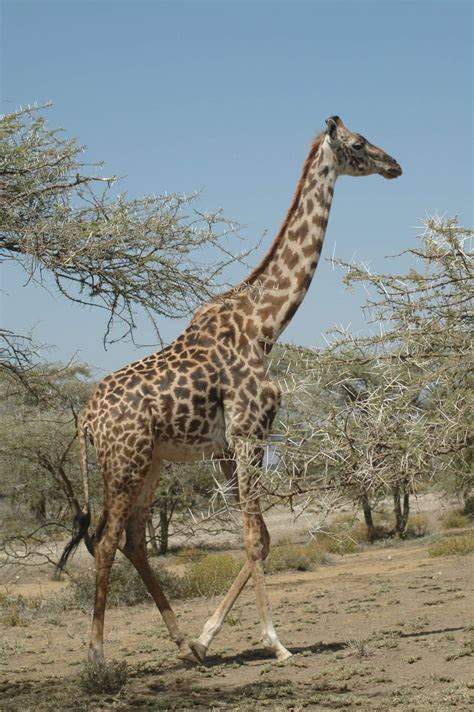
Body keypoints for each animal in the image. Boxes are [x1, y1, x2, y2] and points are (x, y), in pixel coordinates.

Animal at [58, 116, 401, 665]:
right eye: (358, 143)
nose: (394, 165)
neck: (265, 325)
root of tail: (86, 418)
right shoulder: (249, 432)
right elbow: (254, 538)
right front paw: (277, 643)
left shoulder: (226, 447)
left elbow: (261, 537)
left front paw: (207, 635)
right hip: (125, 461)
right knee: (106, 539)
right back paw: (98, 654)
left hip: (151, 462)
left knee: (132, 539)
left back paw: (184, 645)